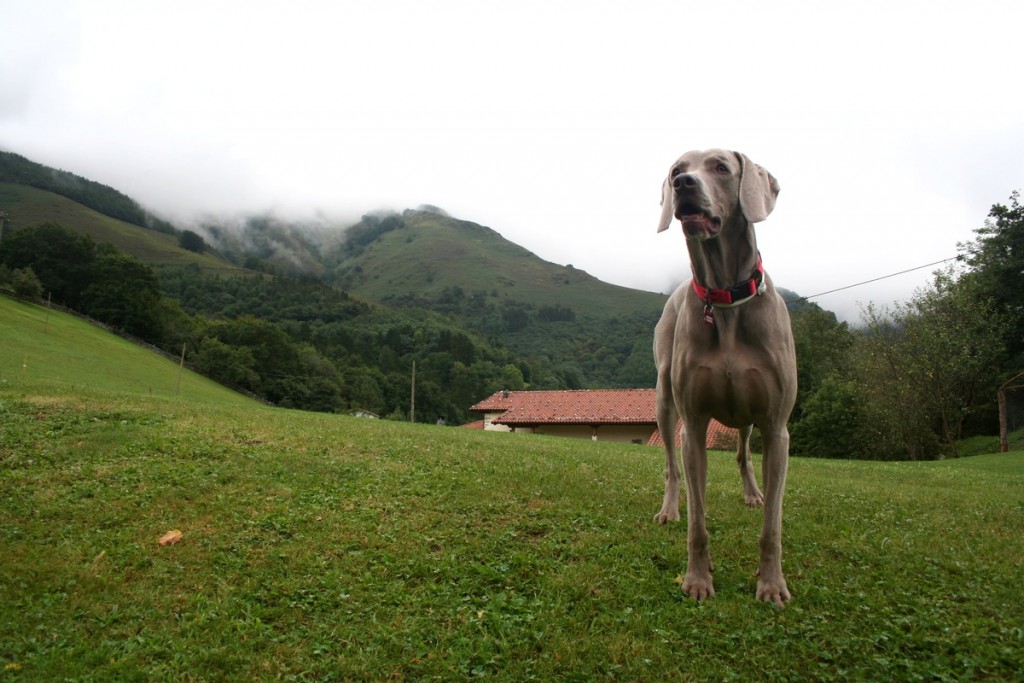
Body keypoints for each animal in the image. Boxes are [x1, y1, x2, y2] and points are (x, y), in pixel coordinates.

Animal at [651, 149, 794, 610]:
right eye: (676, 171)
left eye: (720, 167)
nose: (683, 185)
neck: (726, 298)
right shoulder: (694, 424)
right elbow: (698, 520)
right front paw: (698, 578)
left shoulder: (777, 426)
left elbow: (772, 527)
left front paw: (771, 585)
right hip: (665, 400)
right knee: (672, 467)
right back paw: (669, 509)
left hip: (749, 415)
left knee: (743, 454)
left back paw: (752, 493)